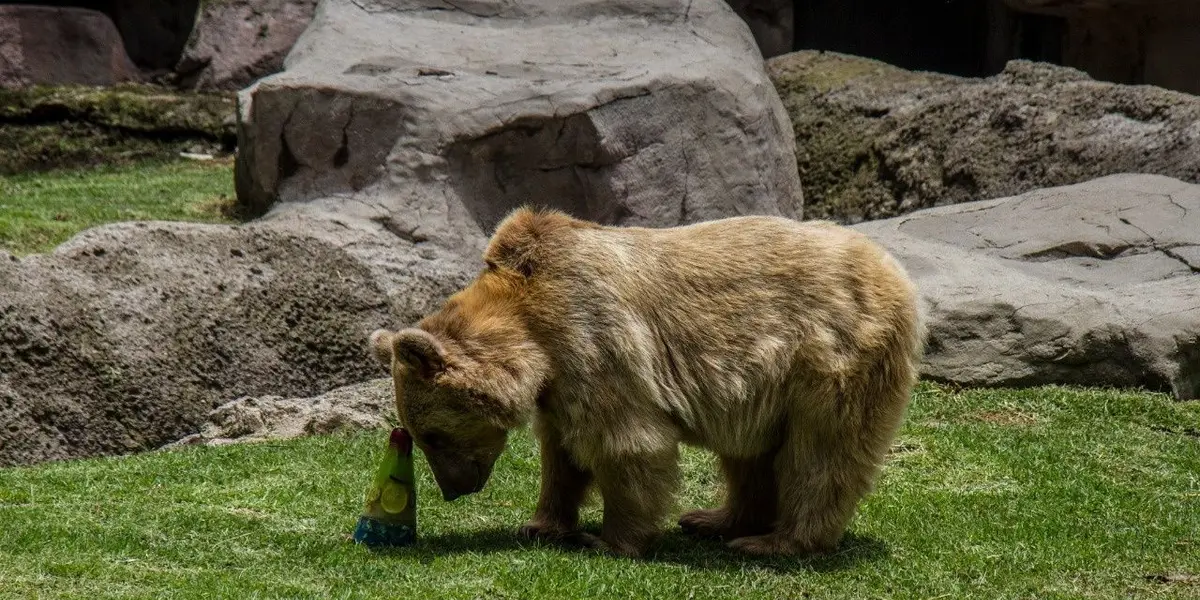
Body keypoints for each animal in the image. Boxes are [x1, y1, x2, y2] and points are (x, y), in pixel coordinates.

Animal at [369, 207, 924, 558]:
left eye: (430, 435)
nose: (454, 489)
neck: (531, 329)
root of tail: (893, 269)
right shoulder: (559, 384)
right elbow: (561, 453)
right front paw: (542, 524)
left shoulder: (593, 339)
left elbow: (624, 442)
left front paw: (607, 541)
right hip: (764, 386)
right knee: (749, 455)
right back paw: (713, 519)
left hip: (830, 358)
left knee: (821, 454)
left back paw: (777, 541)